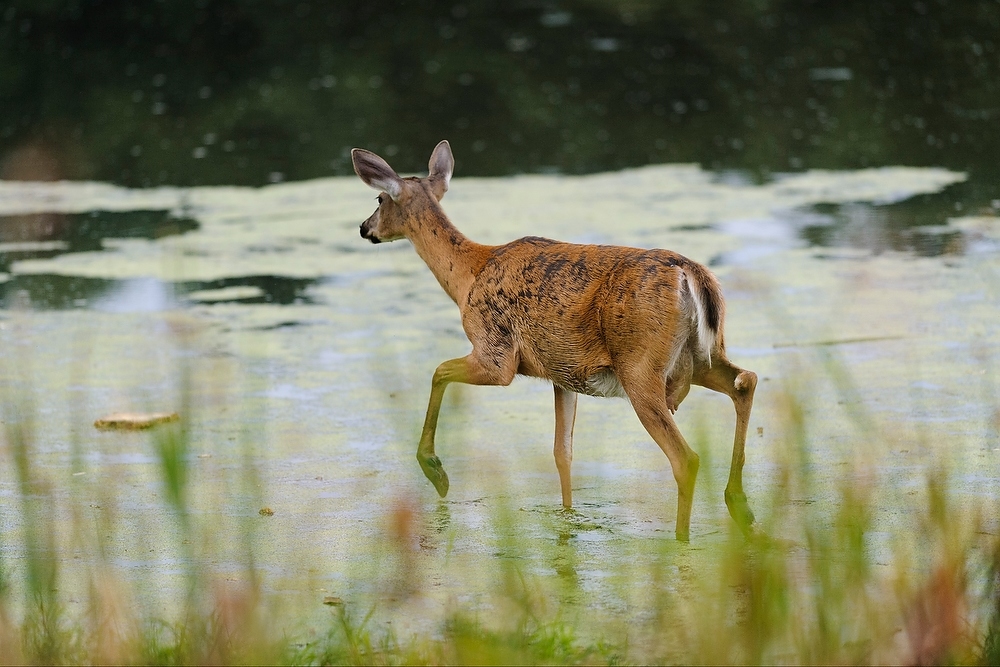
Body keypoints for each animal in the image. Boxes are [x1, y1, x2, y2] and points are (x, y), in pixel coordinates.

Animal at [352, 141, 756, 544]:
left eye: (378, 198)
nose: (363, 227)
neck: (469, 277)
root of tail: (689, 274)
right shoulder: (562, 375)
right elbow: (563, 452)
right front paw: (567, 518)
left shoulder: (496, 355)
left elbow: (438, 371)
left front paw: (435, 472)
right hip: (704, 356)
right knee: (745, 381)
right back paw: (741, 507)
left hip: (640, 367)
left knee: (685, 457)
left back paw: (683, 539)